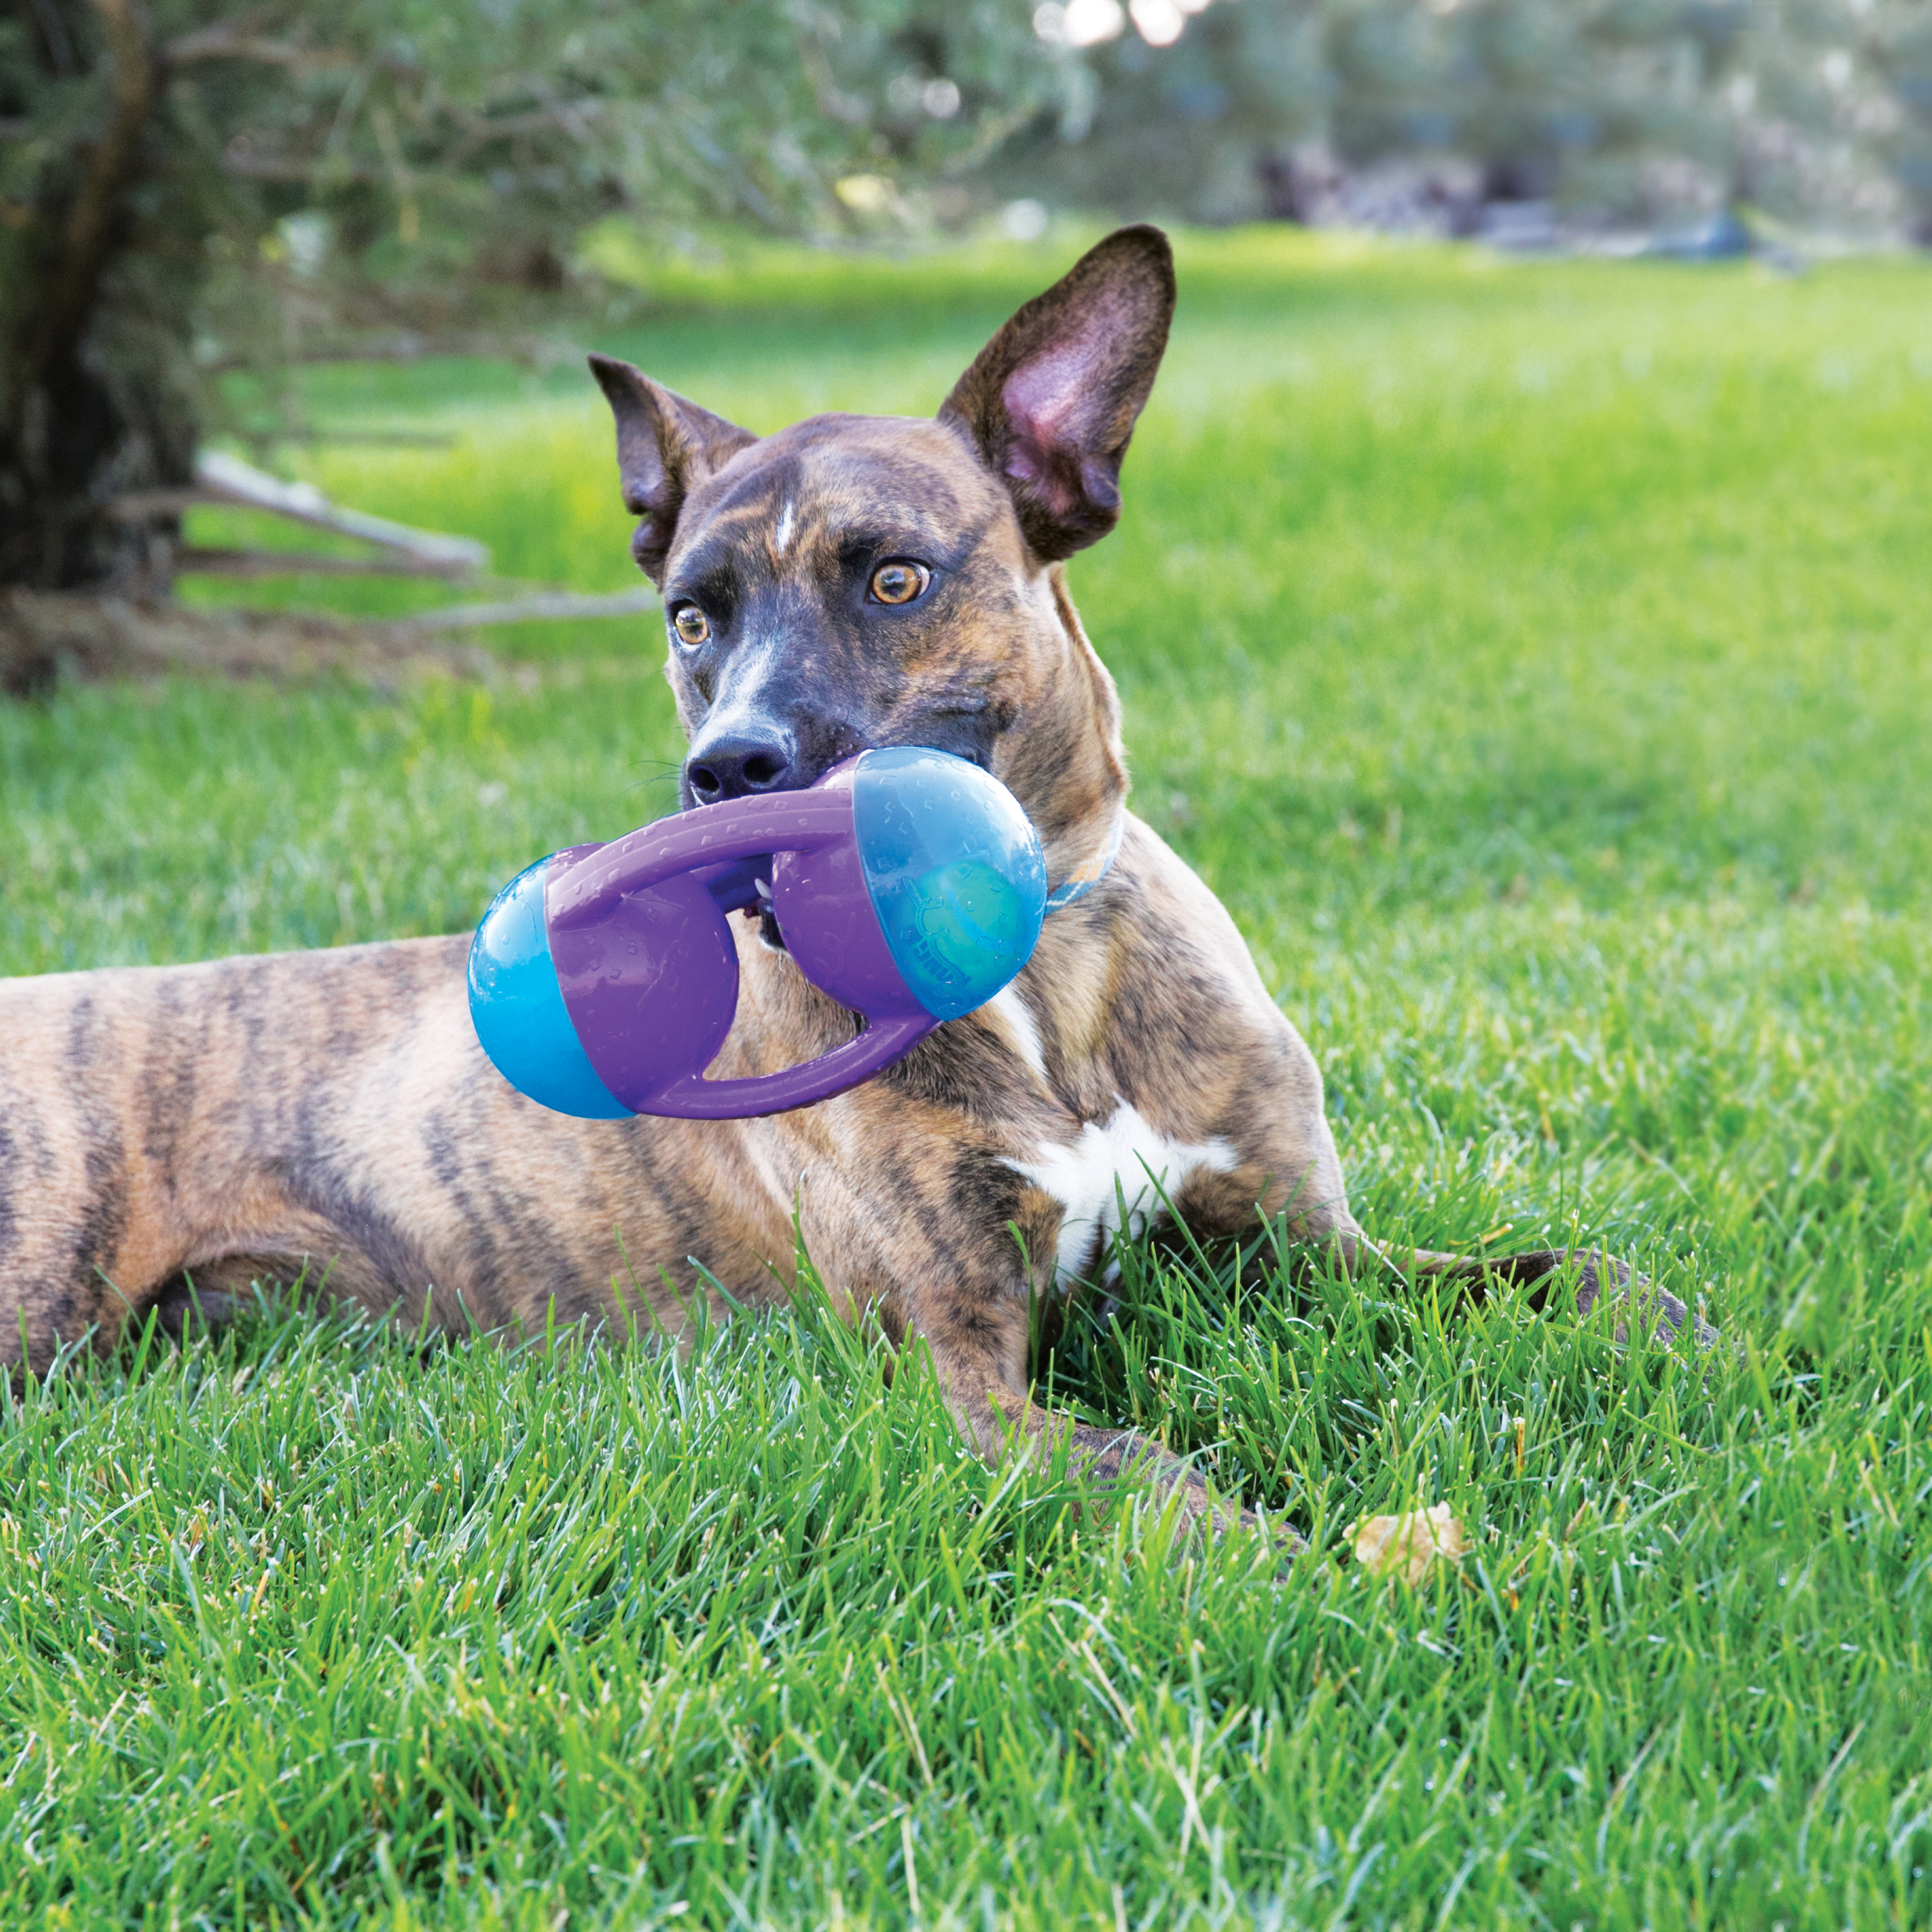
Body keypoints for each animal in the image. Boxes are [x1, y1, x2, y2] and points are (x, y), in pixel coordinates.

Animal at [0, 222, 1692, 1522]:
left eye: (894, 578)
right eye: (692, 617)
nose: (726, 767)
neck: (1044, 984)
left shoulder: (1304, 1249)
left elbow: (1575, 1269)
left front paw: (1687, 1334)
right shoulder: (961, 1374)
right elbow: (1147, 1473)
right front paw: (1303, 1571)